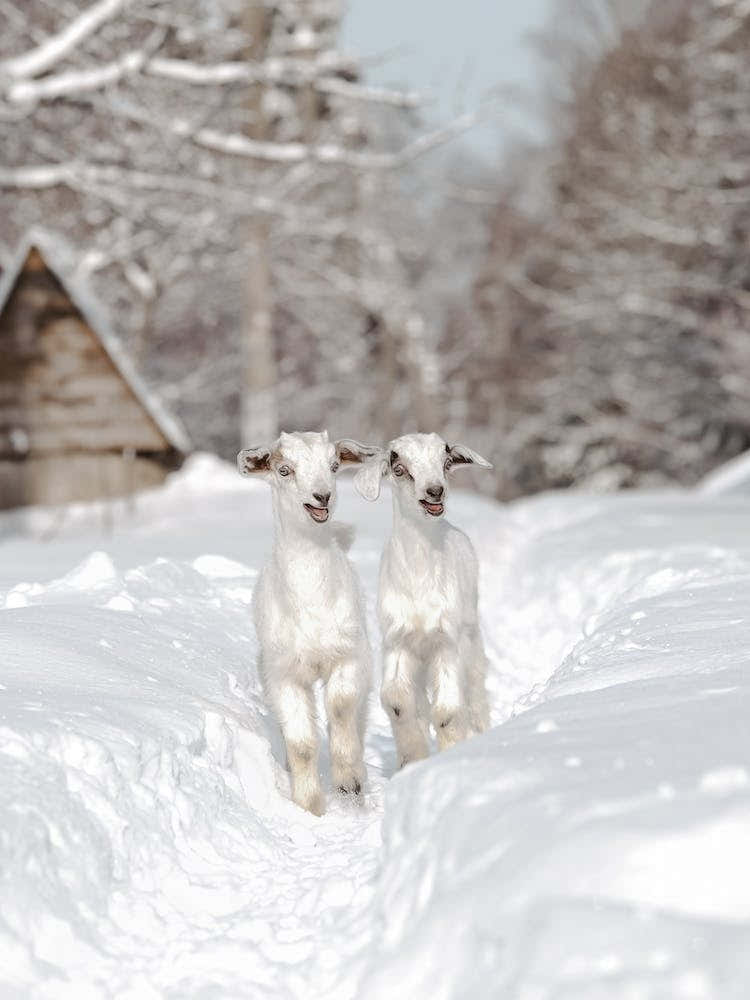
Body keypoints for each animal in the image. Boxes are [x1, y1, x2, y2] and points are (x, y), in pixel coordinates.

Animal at [238, 430, 378, 815]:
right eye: (284, 469)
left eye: (334, 465)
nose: (322, 497)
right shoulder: (284, 673)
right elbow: (301, 743)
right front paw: (309, 806)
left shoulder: (349, 655)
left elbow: (341, 707)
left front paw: (348, 783)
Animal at [354, 432, 493, 768]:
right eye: (399, 469)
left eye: (445, 462)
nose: (435, 491)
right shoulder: (398, 640)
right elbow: (396, 701)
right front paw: (412, 758)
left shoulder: (447, 641)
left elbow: (447, 711)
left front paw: (452, 750)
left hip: (471, 636)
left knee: (475, 692)